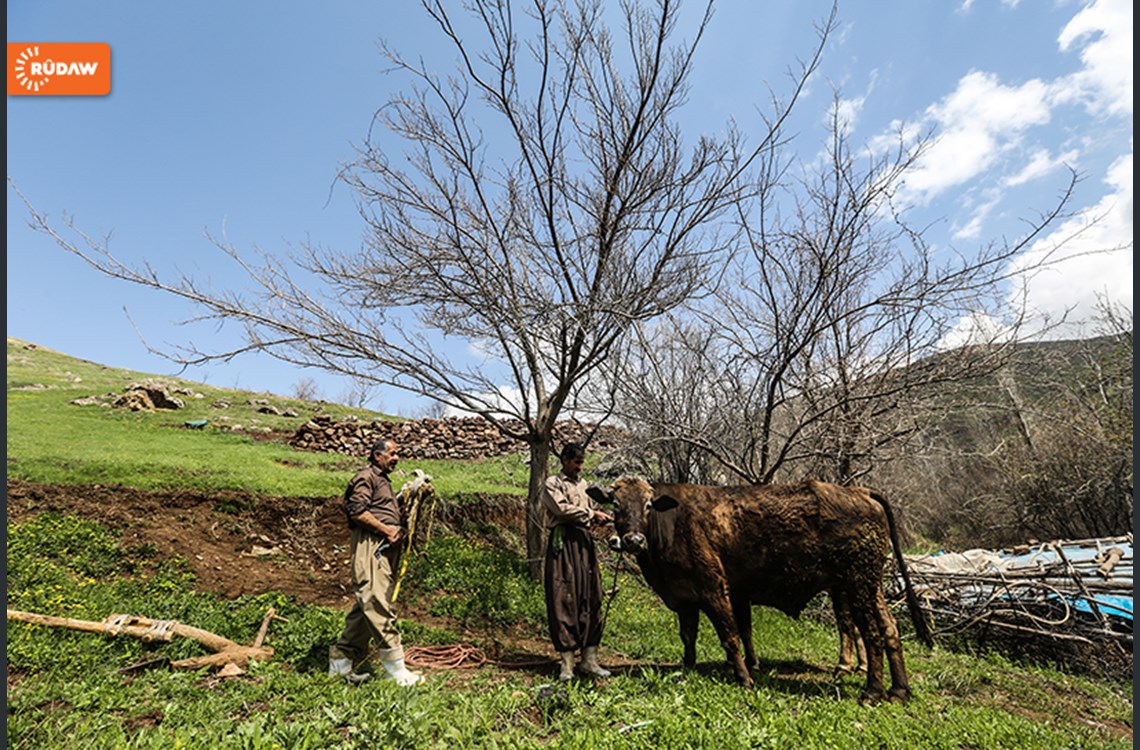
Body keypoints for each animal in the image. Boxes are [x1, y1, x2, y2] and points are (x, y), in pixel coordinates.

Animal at [592, 476, 930, 697]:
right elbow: (689, 638)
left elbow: (731, 636)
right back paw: (899, 689)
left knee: (870, 632)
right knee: (889, 629)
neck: (673, 524)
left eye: (648, 504)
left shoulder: (715, 589)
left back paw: (872, 691)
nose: (633, 540)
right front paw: (687, 669)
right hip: (871, 586)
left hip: (857, 585)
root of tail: (859, 491)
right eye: (616, 504)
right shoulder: (685, 598)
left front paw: (744, 677)